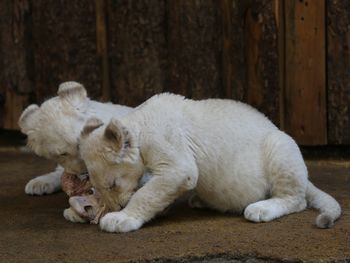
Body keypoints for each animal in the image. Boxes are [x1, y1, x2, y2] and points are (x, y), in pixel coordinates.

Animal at [78, 94, 340, 234]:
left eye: (112, 184)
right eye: (95, 189)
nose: (116, 207)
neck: (140, 122)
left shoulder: (178, 166)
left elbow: (147, 194)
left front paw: (121, 219)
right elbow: (152, 191)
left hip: (280, 144)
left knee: (296, 199)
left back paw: (260, 209)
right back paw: (201, 201)